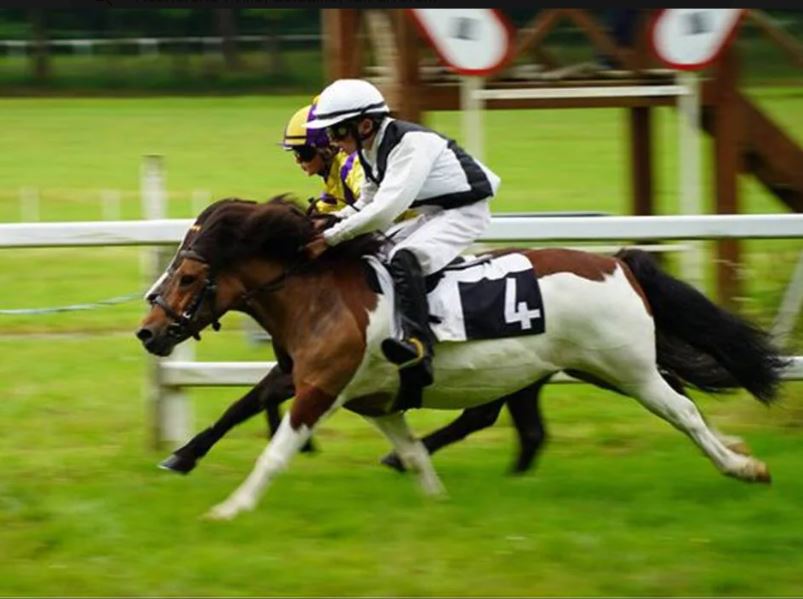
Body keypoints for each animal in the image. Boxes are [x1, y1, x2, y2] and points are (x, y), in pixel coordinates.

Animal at [137, 198, 784, 520]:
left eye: (188, 276)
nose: (148, 332)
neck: (320, 292)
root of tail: (618, 261)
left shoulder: (320, 387)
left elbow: (274, 451)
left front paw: (232, 507)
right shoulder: (364, 395)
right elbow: (410, 450)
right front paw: (435, 500)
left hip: (627, 369)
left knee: (682, 411)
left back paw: (742, 466)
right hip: (596, 370)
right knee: (673, 394)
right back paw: (738, 449)